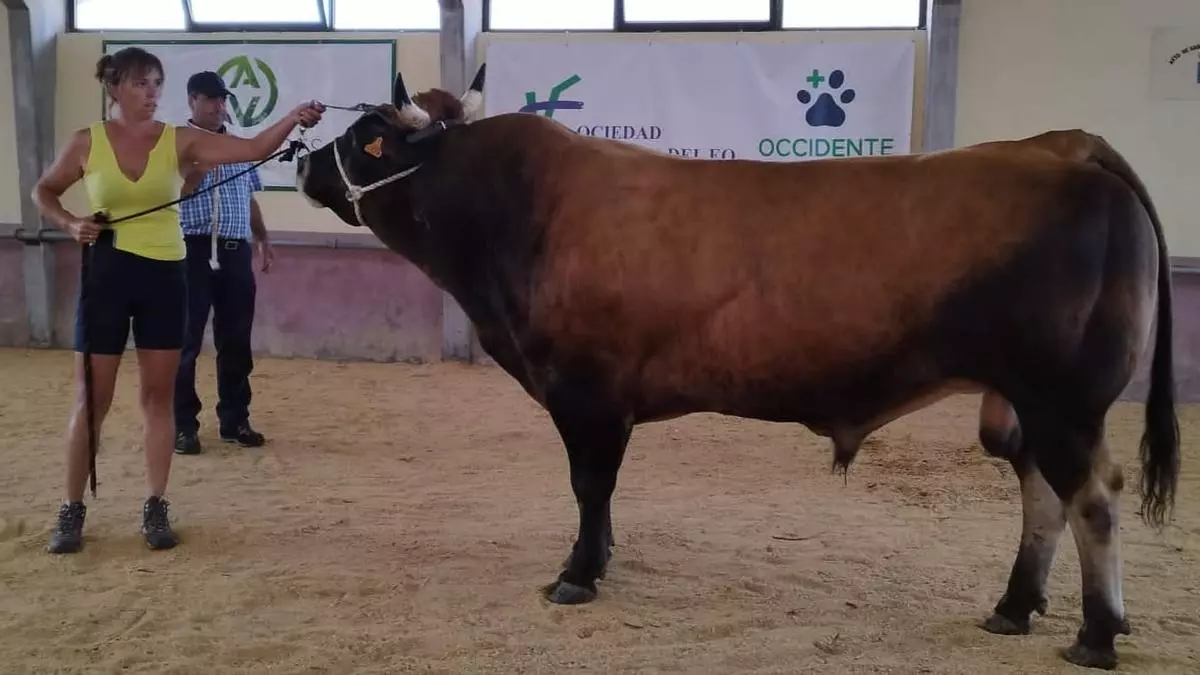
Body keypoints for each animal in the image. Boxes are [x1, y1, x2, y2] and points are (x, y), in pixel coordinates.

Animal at [294, 66, 1180, 670]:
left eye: (368, 136)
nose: (300, 159)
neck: (521, 210)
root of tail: (1065, 147)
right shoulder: (604, 401)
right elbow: (602, 491)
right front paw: (603, 556)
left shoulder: (583, 390)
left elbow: (588, 482)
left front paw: (576, 574)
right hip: (1027, 404)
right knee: (1042, 493)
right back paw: (1014, 605)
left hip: (1064, 400)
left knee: (1093, 497)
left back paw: (1095, 633)